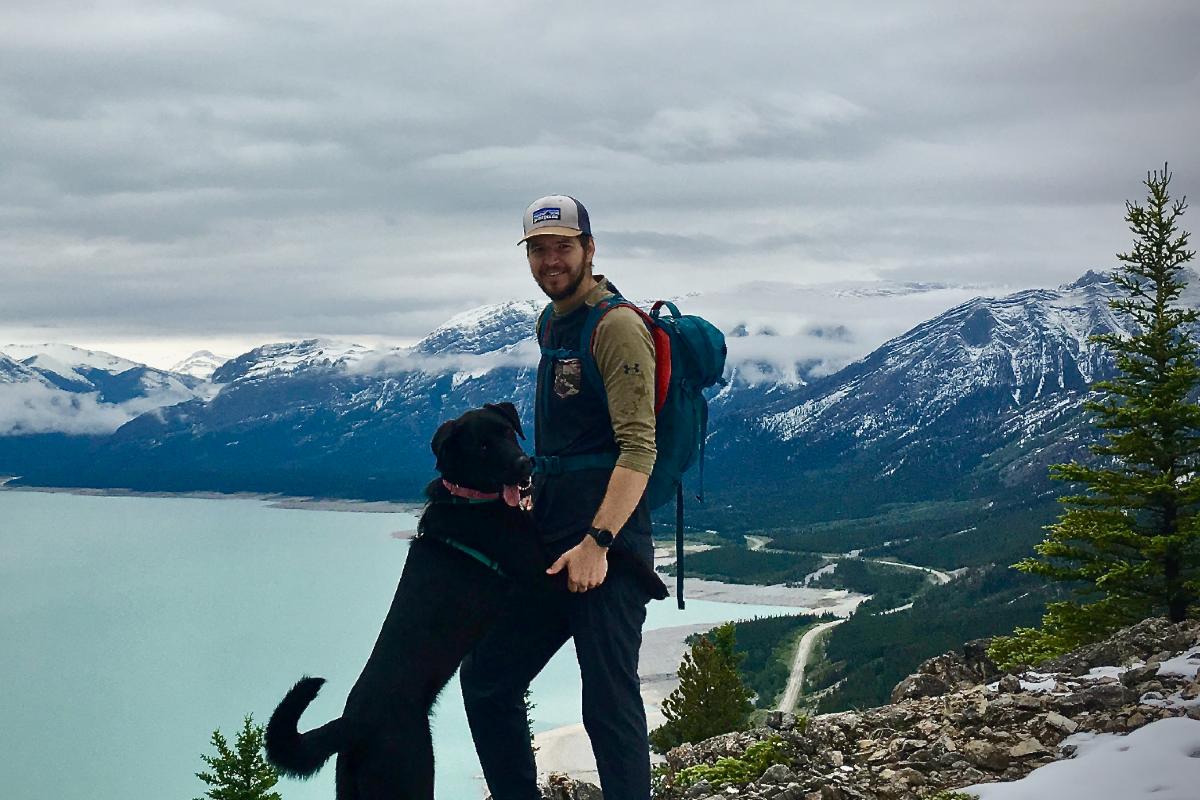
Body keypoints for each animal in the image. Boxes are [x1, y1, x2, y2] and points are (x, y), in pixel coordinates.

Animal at [262, 402, 667, 800]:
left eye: (507, 432)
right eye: (483, 447)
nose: (526, 464)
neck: (471, 499)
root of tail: (353, 723)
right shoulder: (543, 570)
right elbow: (610, 555)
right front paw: (653, 580)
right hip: (412, 773)